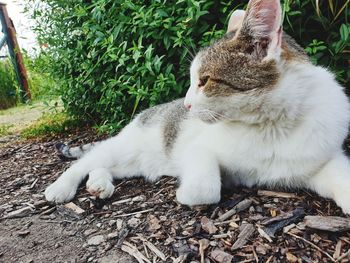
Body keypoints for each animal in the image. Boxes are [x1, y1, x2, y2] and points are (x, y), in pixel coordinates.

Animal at [45, 0, 350, 214]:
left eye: (204, 81)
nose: (187, 104)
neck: (269, 126)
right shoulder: (197, 148)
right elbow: (205, 187)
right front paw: (188, 190)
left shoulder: (321, 159)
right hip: (126, 146)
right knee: (85, 162)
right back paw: (60, 188)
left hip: (134, 163)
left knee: (104, 167)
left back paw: (99, 184)